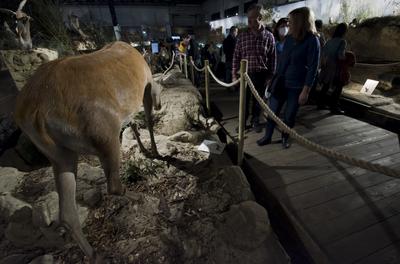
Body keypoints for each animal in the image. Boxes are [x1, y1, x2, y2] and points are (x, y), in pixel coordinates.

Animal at [14, 41, 161, 262]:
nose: (160, 105)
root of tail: (36, 111)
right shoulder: (147, 87)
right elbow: (148, 122)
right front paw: (154, 151)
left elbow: (134, 124)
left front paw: (145, 149)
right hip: (104, 135)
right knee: (113, 185)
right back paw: (137, 196)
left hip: (60, 155)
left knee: (67, 214)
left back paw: (95, 254)